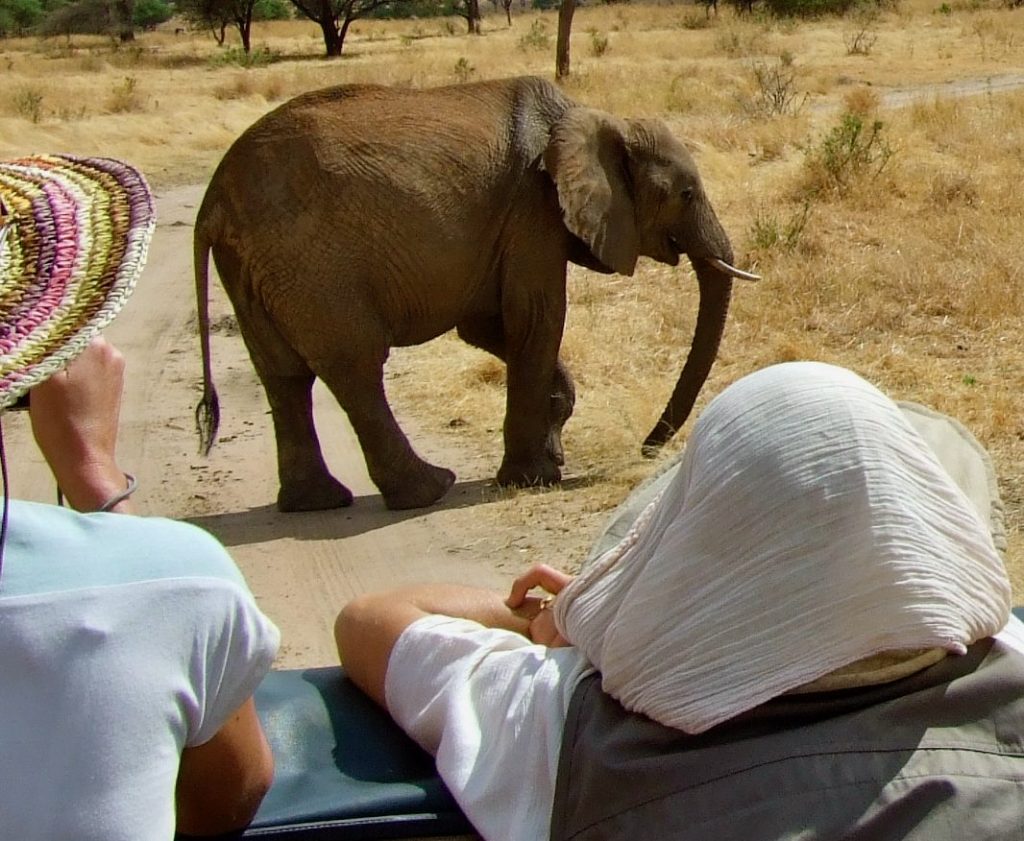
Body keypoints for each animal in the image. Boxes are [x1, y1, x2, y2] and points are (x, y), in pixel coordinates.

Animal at [192, 75, 757, 512]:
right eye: (686, 193)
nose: (647, 449)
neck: (595, 119)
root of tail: (212, 200)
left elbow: (488, 327)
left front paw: (550, 452)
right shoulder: (532, 209)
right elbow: (536, 319)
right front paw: (532, 479)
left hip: (254, 268)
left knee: (283, 376)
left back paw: (316, 503)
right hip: (312, 265)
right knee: (354, 368)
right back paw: (428, 490)